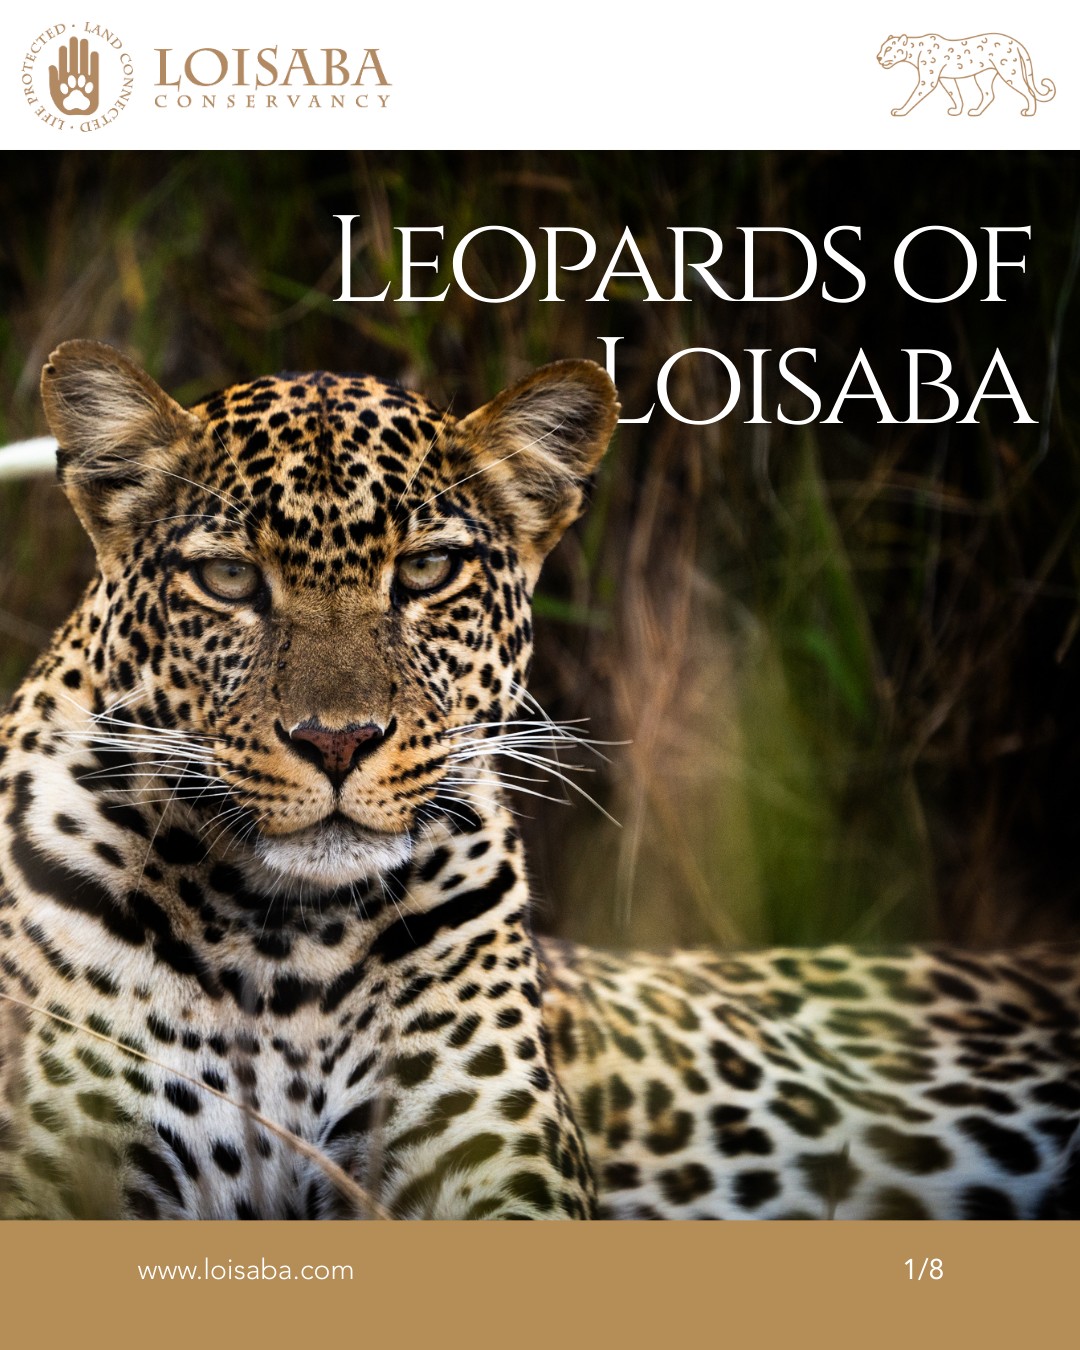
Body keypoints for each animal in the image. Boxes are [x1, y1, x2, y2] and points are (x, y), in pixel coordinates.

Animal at [877, 33, 1055, 118]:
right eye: (882, 47)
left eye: (888, 49)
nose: (878, 57)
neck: (914, 52)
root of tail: (1016, 42)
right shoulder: (946, 79)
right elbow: (955, 94)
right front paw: (957, 110)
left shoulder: (928, 80)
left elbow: (914, 96)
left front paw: (900, 111)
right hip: (983, 76)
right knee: (989, 95)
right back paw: (976, 112)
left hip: (1010, 72)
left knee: (1028, 91)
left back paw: (1029, 112)